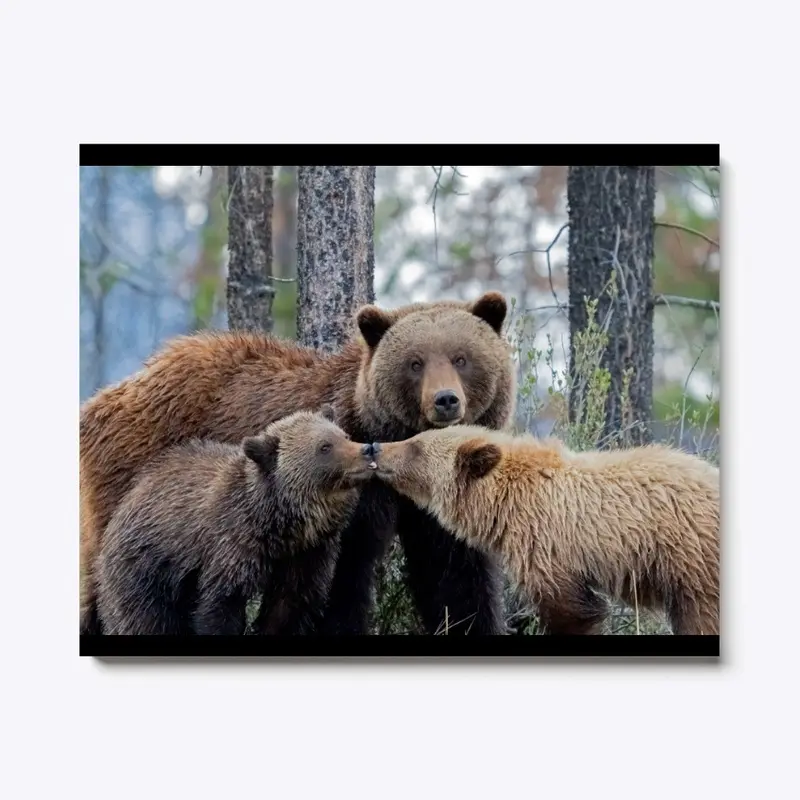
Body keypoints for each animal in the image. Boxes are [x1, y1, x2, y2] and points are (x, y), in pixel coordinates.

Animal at [95, 410, 376, 636]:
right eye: (324, 447)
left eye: (344, 435)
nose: (367, 450)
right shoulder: (231, 546)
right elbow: (222, 605)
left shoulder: (308, 555)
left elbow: (290, 606)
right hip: (145, 570)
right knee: (146, 620)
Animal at [374, 428, 720, 636]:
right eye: (414, 437)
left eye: (415, 446)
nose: (375, 448)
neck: (505, 502)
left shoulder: (547, 545)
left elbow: (570, 611)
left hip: (692, 561)